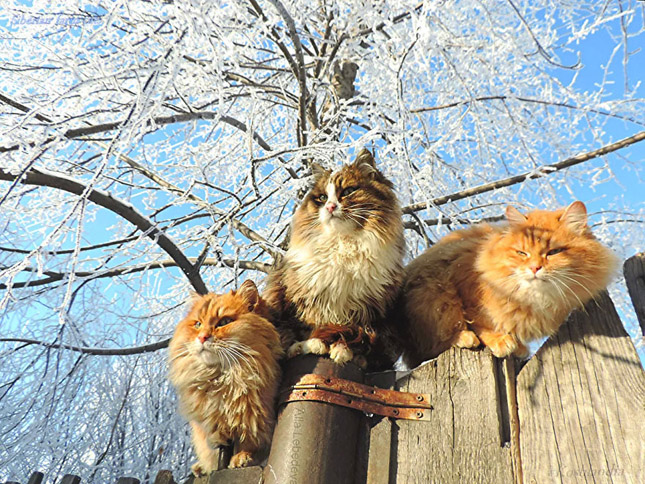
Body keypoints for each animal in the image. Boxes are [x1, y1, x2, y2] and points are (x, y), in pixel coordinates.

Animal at [169, 282, 282, 474]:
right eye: (198, 324)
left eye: (224, 322)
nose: (202, 337)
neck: (222, 379)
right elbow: (214, 449)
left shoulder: (257, 421)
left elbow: (251, 444)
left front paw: (242, 458)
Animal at [262, 147, 402, 366]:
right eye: (321, 198)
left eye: (347, 192)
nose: (329, 207)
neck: (342, 246)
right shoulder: (302, 300)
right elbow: (306, 328)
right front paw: (310, 344)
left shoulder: (368, 310)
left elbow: (353, 334)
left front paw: (342, 350)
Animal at [402, 201, 620, 366]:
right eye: (522, 253)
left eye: (554, 252)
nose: (534, 268)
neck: (534, 298)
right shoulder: (464, 284)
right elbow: (480, 322)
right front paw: (500, 340)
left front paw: (518, 346)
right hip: (431, 294)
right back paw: (464, 337)